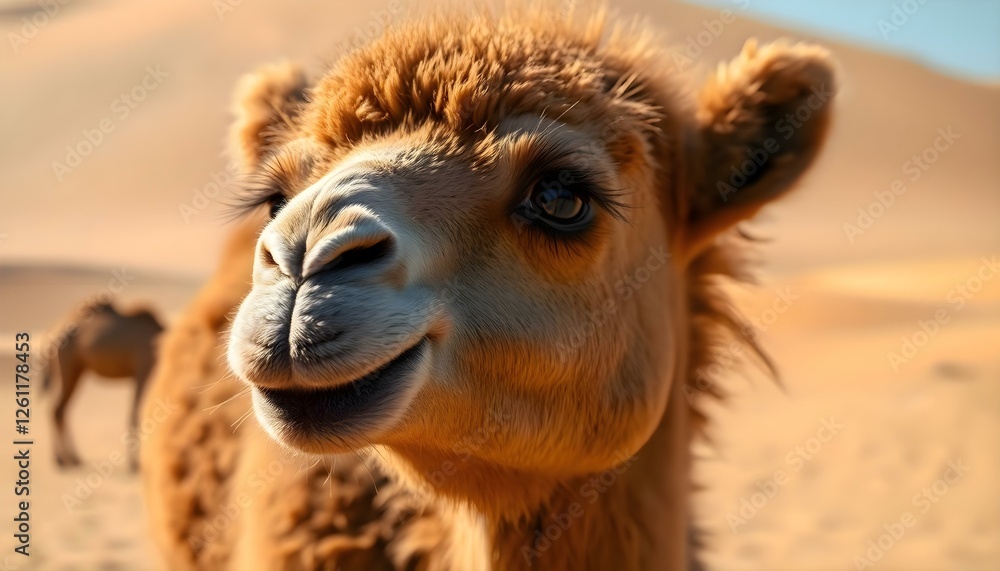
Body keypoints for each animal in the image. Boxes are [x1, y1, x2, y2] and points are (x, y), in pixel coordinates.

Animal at [43, 299, 163, 471]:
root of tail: (52, 329)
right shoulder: (143, 371)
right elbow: (137, 413)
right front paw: (135, 464)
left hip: (75, 370)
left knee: (60, 410)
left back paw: (71, 459)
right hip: (66, 368)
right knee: (56, 409)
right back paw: (62, 460)